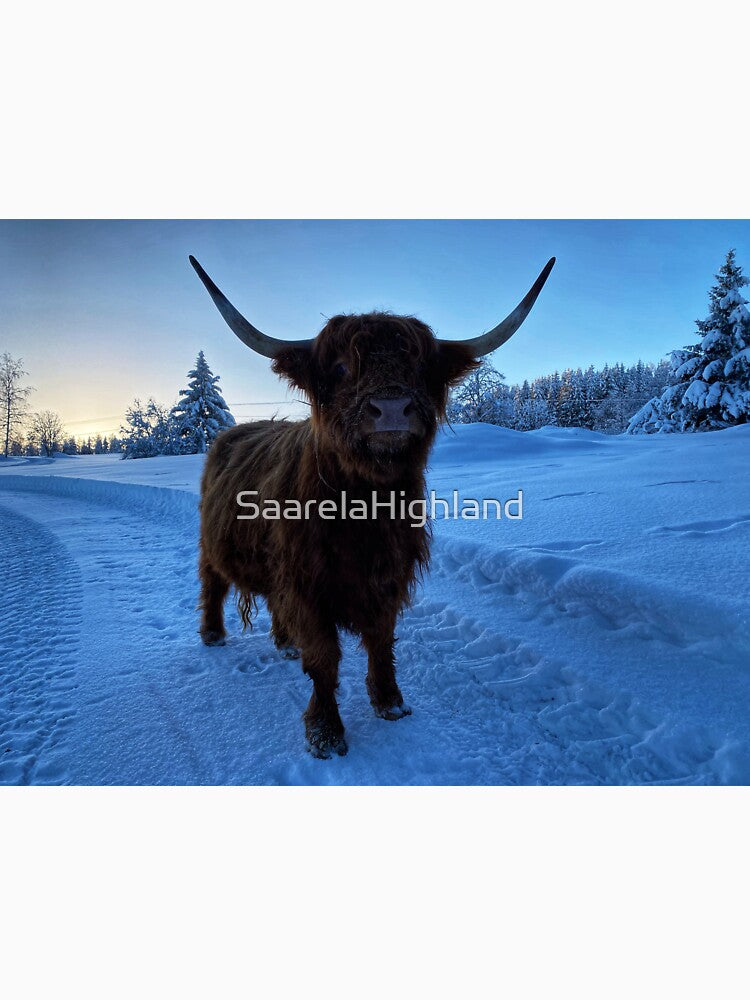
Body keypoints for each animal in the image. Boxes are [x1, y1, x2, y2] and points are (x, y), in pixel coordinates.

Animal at [190, 254, 555, 757]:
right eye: (342, 367)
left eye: (418, 366)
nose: (393, 408)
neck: (364, 509)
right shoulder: (307, 584)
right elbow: (324, 657)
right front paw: (325, 732)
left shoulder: (388, 576)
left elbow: (381, 640)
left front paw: (390, 703)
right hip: (213, 547)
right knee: (212, 584)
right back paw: (213, 635)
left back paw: (284, 643)